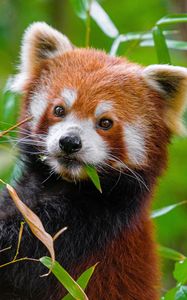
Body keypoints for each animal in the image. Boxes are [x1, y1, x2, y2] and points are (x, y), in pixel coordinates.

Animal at [0, 22, 186, 298]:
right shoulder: (20, 197)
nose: (70, 142)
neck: (63, 184)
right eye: (59, 110)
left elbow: (21, 253)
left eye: (105, 123)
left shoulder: (79, 230)